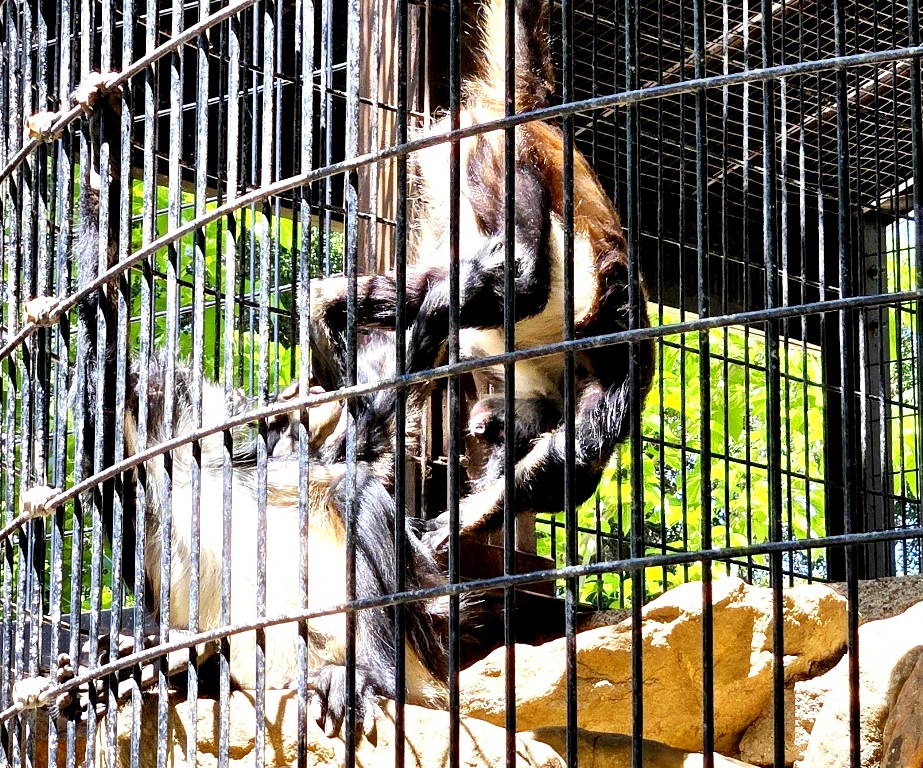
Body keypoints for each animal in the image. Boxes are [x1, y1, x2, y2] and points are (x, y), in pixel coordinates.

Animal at [307, 0, 656, 546]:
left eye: (497, 434)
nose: (482, 430)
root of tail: (529, 117)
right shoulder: (620, 370)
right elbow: (567, 461)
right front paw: (452, 526)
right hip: (498, 160)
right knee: (526, 279)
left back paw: (326, 304)